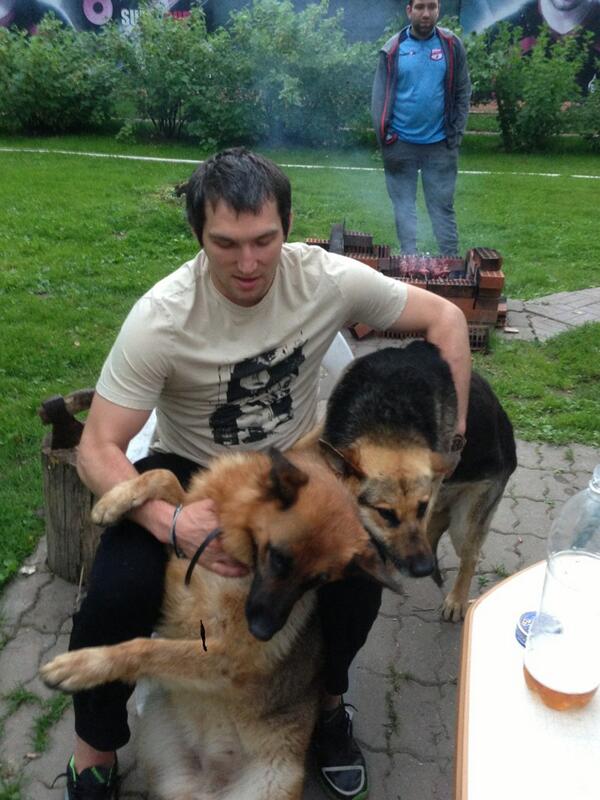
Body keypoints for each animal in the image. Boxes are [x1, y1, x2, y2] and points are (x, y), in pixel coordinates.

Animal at [41, 447, 394, 800]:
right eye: (279, 558)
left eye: (317, 581)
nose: (264, 632)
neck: (239, 543)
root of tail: (213, 784)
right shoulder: (184, 544)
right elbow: (166, 480)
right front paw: (114, 500)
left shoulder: (228, 655)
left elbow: (146, 648)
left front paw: (79, 666)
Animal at [302, 340, 517, 622]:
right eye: (385, 513)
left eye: (420, 507)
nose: (423, 568)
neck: (386, 419)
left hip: (463, 524)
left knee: (469, 555)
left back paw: (457, 599)